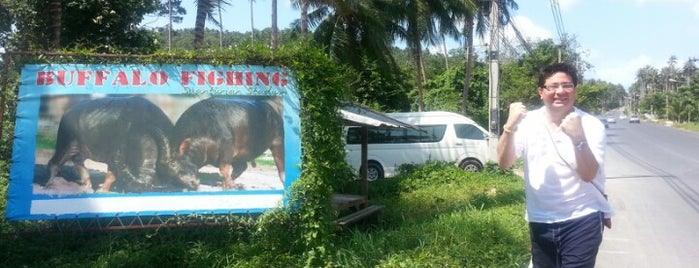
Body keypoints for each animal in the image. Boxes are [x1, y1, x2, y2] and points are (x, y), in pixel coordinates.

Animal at [46, 96, 189, 193]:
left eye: (175, 164)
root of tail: (67, 112)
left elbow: (111, 176)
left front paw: (101, 190)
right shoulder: (117, 155)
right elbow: (112, 175)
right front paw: (101, 190)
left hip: (82, 149)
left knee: (78, 162)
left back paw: (87, 185)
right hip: (66, 144)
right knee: (55, 163)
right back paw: (49, 185)